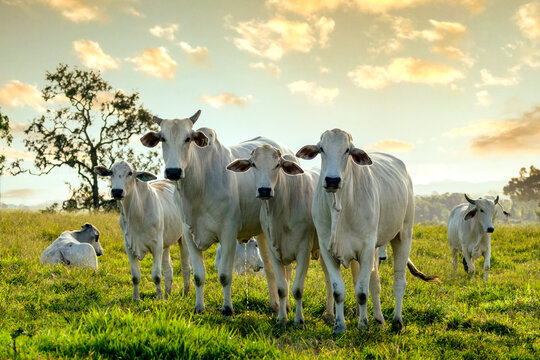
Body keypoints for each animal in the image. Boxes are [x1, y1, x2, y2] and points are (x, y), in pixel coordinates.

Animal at [94, 162, 191, 300]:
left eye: (130, 173)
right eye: (111, 172)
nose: (117, 191)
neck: (135, 213)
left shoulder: (157, 245)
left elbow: (156, 275)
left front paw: (158, 299)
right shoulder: (129, 246)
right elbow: (135, 277)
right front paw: (136, 299)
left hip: (183, 239)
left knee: (185, 267)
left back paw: (184, 294)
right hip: (166, 243)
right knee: (168, 269)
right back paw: (167, 295)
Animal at [139, 109, 292, 316]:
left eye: (188, 138)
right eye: (163, 138)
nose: (173, 171)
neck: (199, 185)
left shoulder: (228, 233)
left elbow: (225, 276)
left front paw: (227, 309)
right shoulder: (188, 234)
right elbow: (198, 276)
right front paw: (199, 307)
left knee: (287, 271)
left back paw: (286, 306)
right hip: (262, 232)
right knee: (269, 269)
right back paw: (274, 305)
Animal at [298, 129, 440, 334]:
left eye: (347, 150)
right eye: (322, 149)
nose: (332, 180)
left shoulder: (365, 248)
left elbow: (362, 293)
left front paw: (363, 325)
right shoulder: (327, 250)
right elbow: (339, 290)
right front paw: (339, 326)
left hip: (404, 234)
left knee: (399, 281)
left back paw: (397, 321)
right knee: (376, 282)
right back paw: (379, 319)